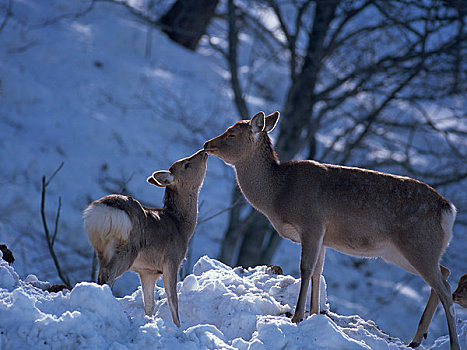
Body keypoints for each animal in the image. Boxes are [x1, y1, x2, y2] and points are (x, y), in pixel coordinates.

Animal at [83, 149, 207, 326]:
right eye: (186, 164)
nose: (203, 152)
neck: (181, 227)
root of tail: (103, 210)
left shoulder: (147, 271)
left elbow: (149, 303)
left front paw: (149, 320)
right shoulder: (172, 260)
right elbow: (173, 300)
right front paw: (178, 327)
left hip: (100, 247)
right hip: (126, 249)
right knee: (107, 275)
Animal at [206, 112, 460, 350]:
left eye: (232, 133)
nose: (207, 144)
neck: (278, 195)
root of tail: (448, 209)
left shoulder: (312, 224)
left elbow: (306, 268)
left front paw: (297, 317)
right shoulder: (323, 237)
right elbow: (318, 271)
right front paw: (313, 315)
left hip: (418, 244)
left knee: (445, 289)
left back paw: (452, 343)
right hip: (401, 252)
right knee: (445, 273)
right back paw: (416, 339)